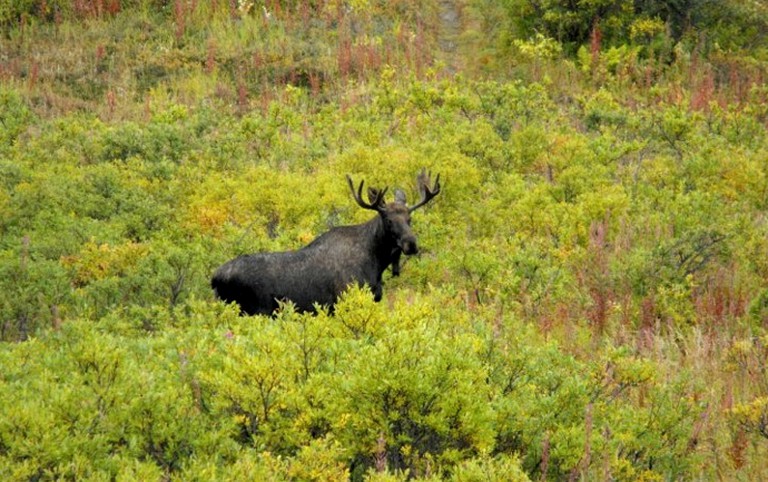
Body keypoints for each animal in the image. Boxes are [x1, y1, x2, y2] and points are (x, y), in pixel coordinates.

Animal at [210, 170, 440, 316]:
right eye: (389, 220)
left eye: (409, 218)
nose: (411, 244)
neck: (376, 262)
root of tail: (214, 278)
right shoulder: (343, 302)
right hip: (251, 311)